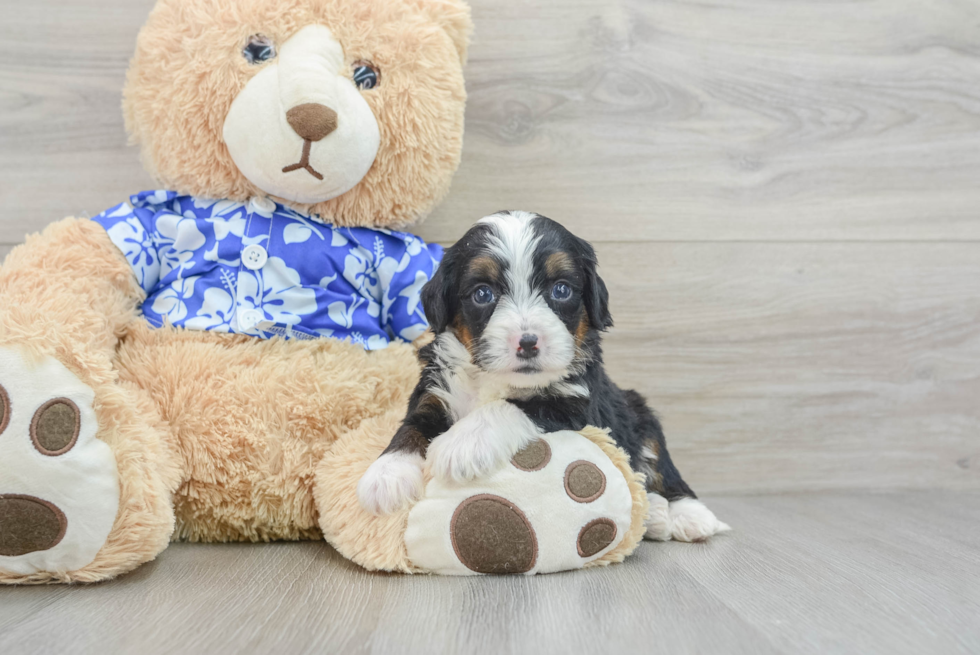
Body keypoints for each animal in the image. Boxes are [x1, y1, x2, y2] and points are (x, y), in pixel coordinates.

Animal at [358, 211, 728, 544]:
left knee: (663, 468)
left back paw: (685, 515)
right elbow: (411, 426)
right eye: (482, 294)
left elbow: (514, 406)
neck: (490, 379)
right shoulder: (435, 392)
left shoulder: (576, 405)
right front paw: (386, 475)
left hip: (641, 414)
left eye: (561, 290)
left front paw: (462, 444)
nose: (528, 342)